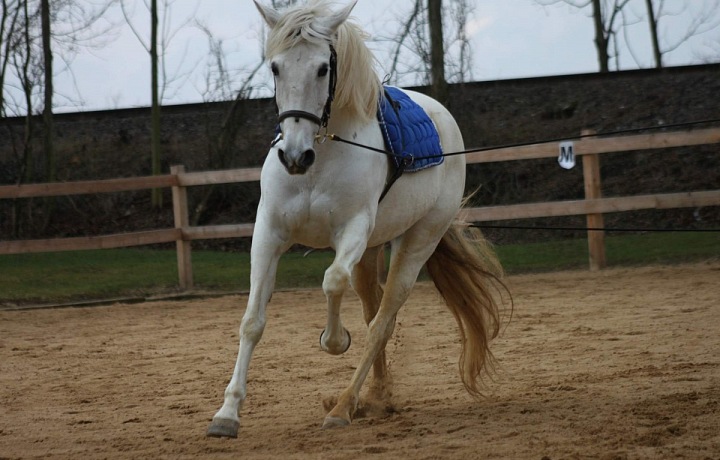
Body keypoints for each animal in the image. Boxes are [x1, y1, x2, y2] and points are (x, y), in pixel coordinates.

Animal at [207, 0, 507, 438]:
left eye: (322, 68)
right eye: (275, 67)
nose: (294, 157)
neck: (320, 160)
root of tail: (441, 118)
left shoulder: (352, 233)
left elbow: (332, 282)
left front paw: (334, 341)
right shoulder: (269, 235)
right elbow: (252, 322)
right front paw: (227, 414)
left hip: (415, 244)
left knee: (381, 322)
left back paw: (344, 406)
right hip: (372, 253)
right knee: (374, 315)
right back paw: (375, 399)